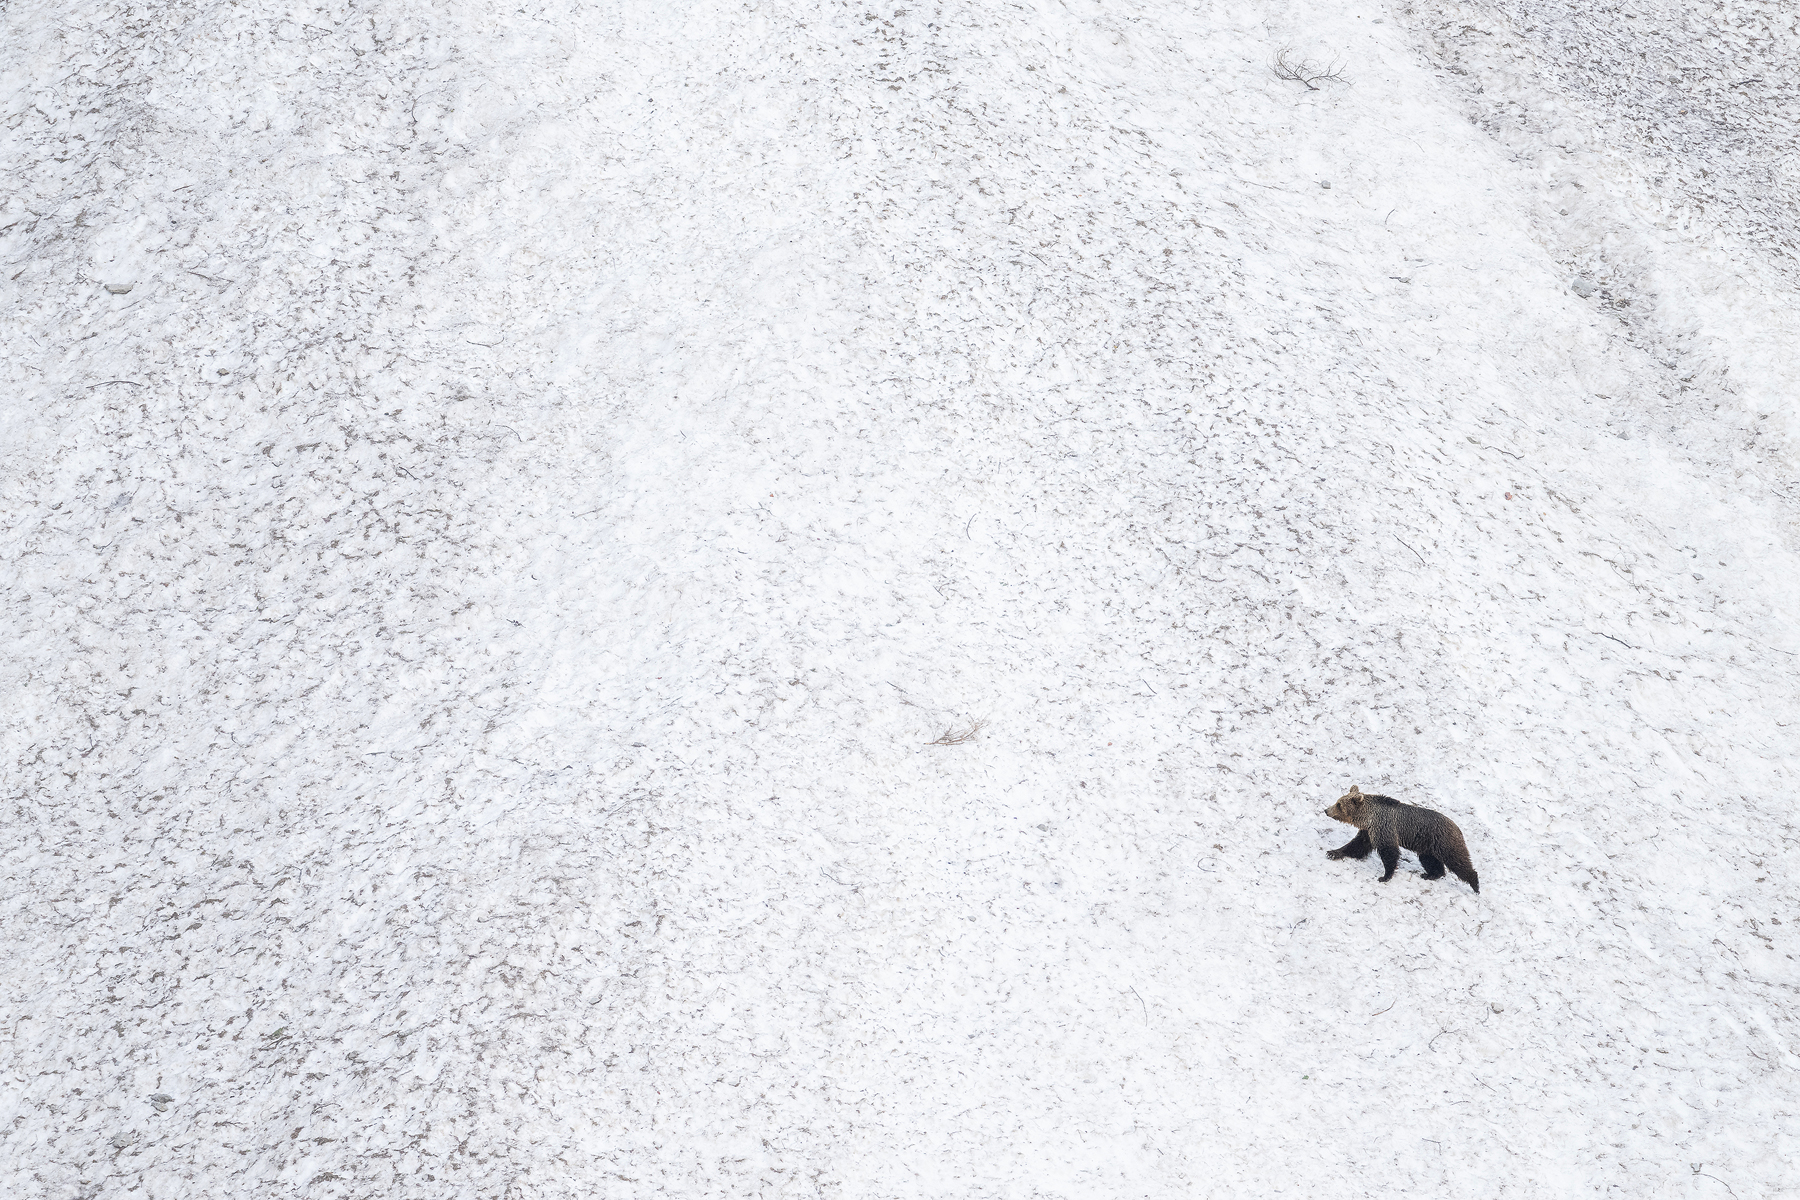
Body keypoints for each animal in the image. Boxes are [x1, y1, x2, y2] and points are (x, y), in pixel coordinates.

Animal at [1323, 785, 1479, 893]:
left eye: (1339, 804)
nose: (1326, 810)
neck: (1368, 818)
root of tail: (1458, 828)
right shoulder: (1369, 832)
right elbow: (1356, 845)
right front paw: (1332, 852)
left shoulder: (1384, 828)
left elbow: (1389, 852)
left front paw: (1385, 876)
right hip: (1427, 846)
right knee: (1429, 860)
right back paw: (1430, 875)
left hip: (1444, 842)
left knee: (1457, 861)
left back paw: (1475, 884)